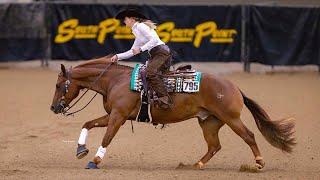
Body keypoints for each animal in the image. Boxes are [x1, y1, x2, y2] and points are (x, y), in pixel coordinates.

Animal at [48, 57, 296, 170]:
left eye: (59, 85)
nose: (53, 108)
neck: (116, 80)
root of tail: (233, 86)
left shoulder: (118, 117)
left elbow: (107, 137)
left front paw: (95, 160)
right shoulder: (114, 115)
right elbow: (88, 124)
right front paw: (81, 149)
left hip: (231, 118)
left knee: (249, 136)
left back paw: (259, 163)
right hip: (209, 122)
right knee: (214, 146)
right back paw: (196, 165)